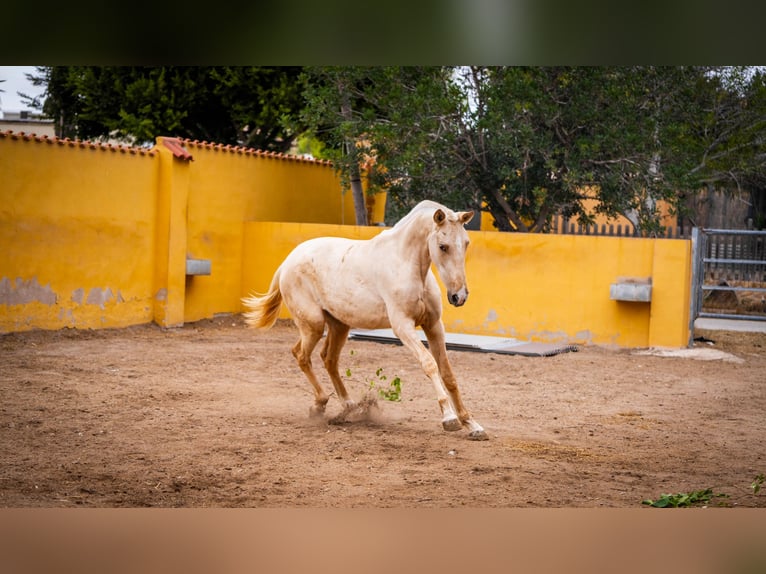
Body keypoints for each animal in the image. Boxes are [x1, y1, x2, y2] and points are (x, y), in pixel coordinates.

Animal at [243, 200, 488, 444]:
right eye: (443, 246)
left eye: (466, 243)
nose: (459, 296)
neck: (406, 264)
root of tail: (287, 262)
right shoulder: (403, 326)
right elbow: (429, 364)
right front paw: (449, 419)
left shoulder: (433, 325)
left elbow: (448, 374)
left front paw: (472, 425)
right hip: (314, 325)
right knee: (302, 356)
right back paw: (321, 405)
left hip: (339, 325)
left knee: (328, 359)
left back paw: (349, 407)